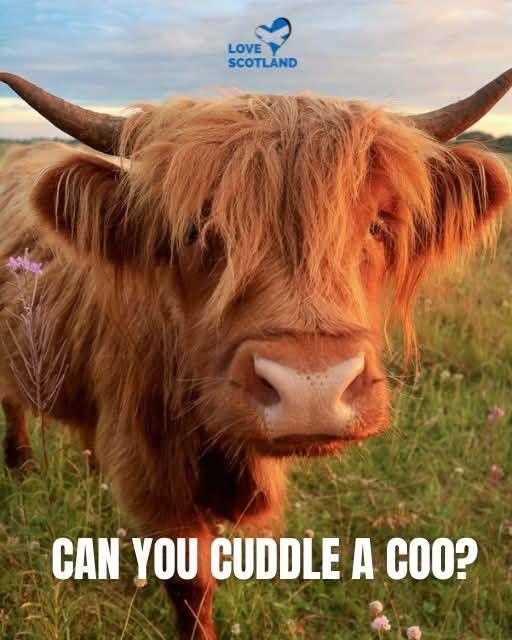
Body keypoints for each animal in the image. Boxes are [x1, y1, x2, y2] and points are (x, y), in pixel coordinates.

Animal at [0, 69, 511, 639]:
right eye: (196, 229)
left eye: (378, 223)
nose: (312, 391)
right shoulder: (159, 475)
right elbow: (191, 586)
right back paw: (20, 465)